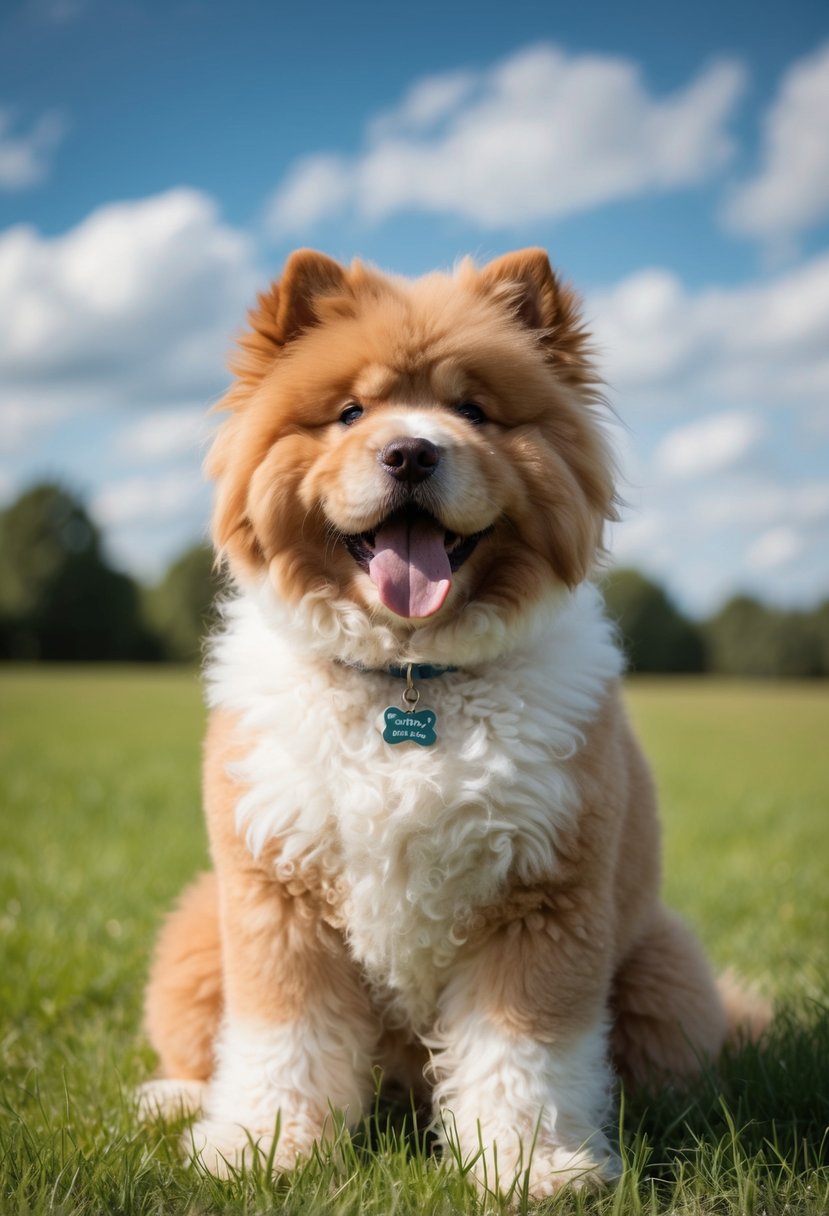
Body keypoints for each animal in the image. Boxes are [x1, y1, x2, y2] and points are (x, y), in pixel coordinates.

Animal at [138, 249, 758, 1196]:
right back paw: (173, 1102)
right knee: (200, 1047)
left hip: (665, 973)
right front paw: (263, 1149)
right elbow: (284, 1042)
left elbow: (523, 1057)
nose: (409, 452)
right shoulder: (277, 901)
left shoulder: (538, 902)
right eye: (350, 412)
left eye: (471, 410)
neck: (411, 683)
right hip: (194, 941)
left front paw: (528, 1166)